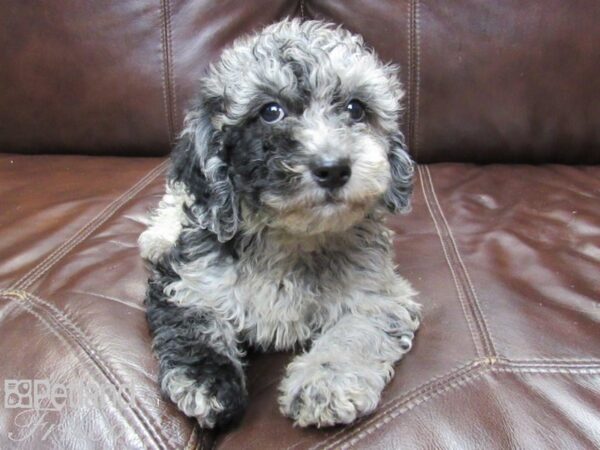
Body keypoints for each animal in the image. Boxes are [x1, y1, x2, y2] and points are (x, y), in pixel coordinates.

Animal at [141, 18, 422, 428]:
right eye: (270, 111)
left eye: (356, 109)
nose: (334, 168)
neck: (291, 238)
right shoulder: (186, 280)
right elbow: (196, 325)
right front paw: (207, 383)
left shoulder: (380, 294)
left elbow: (355, 332)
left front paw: (325, 382)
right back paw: (157, 236)